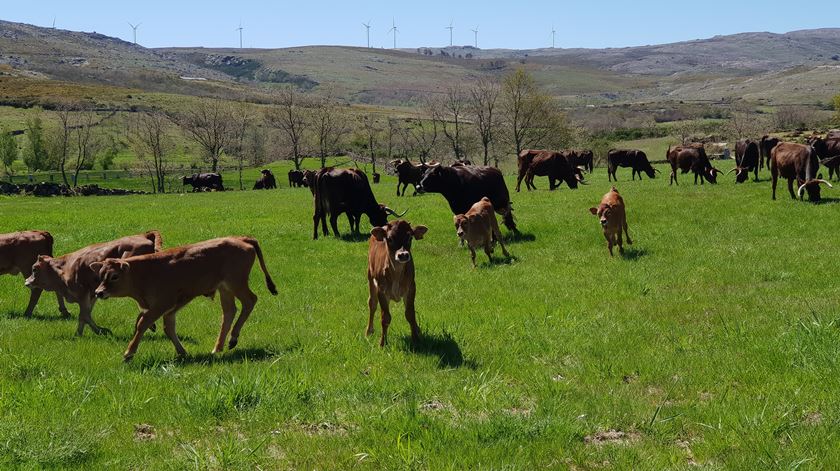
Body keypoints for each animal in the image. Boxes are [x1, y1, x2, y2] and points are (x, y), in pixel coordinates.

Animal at [23, 231, 163, 336]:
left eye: (34, 269)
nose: (26, 282)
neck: (64, 268)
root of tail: (144, 235)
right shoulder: (92, 294)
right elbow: (87, 314)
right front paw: (81, 333)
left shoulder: (83, 294)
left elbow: (84, 315)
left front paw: (99, 331)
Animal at [91, 236, 278, 362]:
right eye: (101, 274)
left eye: (114, 276)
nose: (99, 292)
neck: (145, 272)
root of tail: (241, 238)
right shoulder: (171, 307)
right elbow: (168, 327)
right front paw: (182, 351)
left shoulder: (161, 305)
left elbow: (142, 324)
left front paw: (129, 353)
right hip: (225, 289)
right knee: (229, 312)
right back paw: (218, 348)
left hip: (236, 284)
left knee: (250, 301)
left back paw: (233, 338)